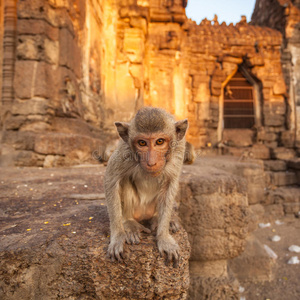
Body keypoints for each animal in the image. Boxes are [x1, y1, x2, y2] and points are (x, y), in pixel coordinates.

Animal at [105, 106, 189, 266]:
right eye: (142, 143)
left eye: (160, 141)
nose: (151, 162)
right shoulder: (125, 151)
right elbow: (112, 180)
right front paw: (117, 237)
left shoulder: (179, 149)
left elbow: (170, 183)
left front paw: (163, 237)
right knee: (124, 181)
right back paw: (129, 223)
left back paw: (160, 220)